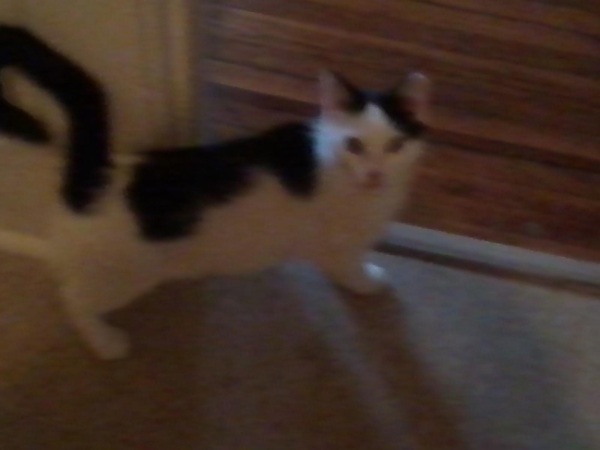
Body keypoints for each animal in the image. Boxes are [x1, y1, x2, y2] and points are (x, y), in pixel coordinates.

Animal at [0, 26, 431, 359]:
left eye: (395, 146)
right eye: (354, 145)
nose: (375, 175)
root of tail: (101, 171)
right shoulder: (337, 245)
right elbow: (349, 267)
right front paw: (368, 282)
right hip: (124, 275)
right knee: (72, 298)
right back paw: (104, 341)